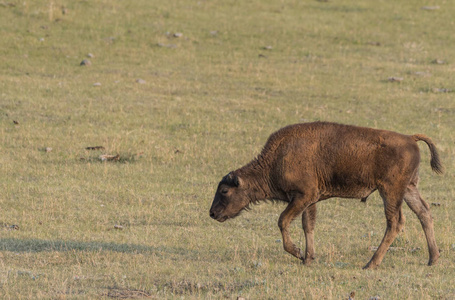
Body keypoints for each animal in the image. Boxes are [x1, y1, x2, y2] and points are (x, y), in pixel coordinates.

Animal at [209, 122, 442, 270]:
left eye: (224, 191)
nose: (212, 213)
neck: (278, 158)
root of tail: (410, 138)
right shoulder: (309, 200)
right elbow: (308, 226)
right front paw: (308, 258)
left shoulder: (302, 196)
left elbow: (283, 221)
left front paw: (297, 253)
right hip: (409, 189)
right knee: (424, 213)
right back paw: (433, 259)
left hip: (390, 192)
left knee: (395, 222)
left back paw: (370, 264)